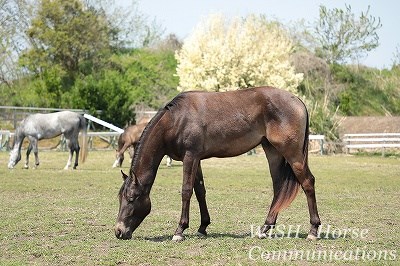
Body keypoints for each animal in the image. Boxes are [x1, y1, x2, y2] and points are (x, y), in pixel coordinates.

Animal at [114, 87, 320, 241]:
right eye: (120, 198)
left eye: (131, 198)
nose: (119, 231)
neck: (176, 120)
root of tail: (297, 101)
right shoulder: (196, 159)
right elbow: (200, 191)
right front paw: (202, 226)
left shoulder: (190, 157)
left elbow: (186, 191)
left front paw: (179, 230)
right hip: (273, 152)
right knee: (278, 188)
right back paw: (264, 228)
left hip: (293, 155)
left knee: (308, 182)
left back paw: (313, 230)